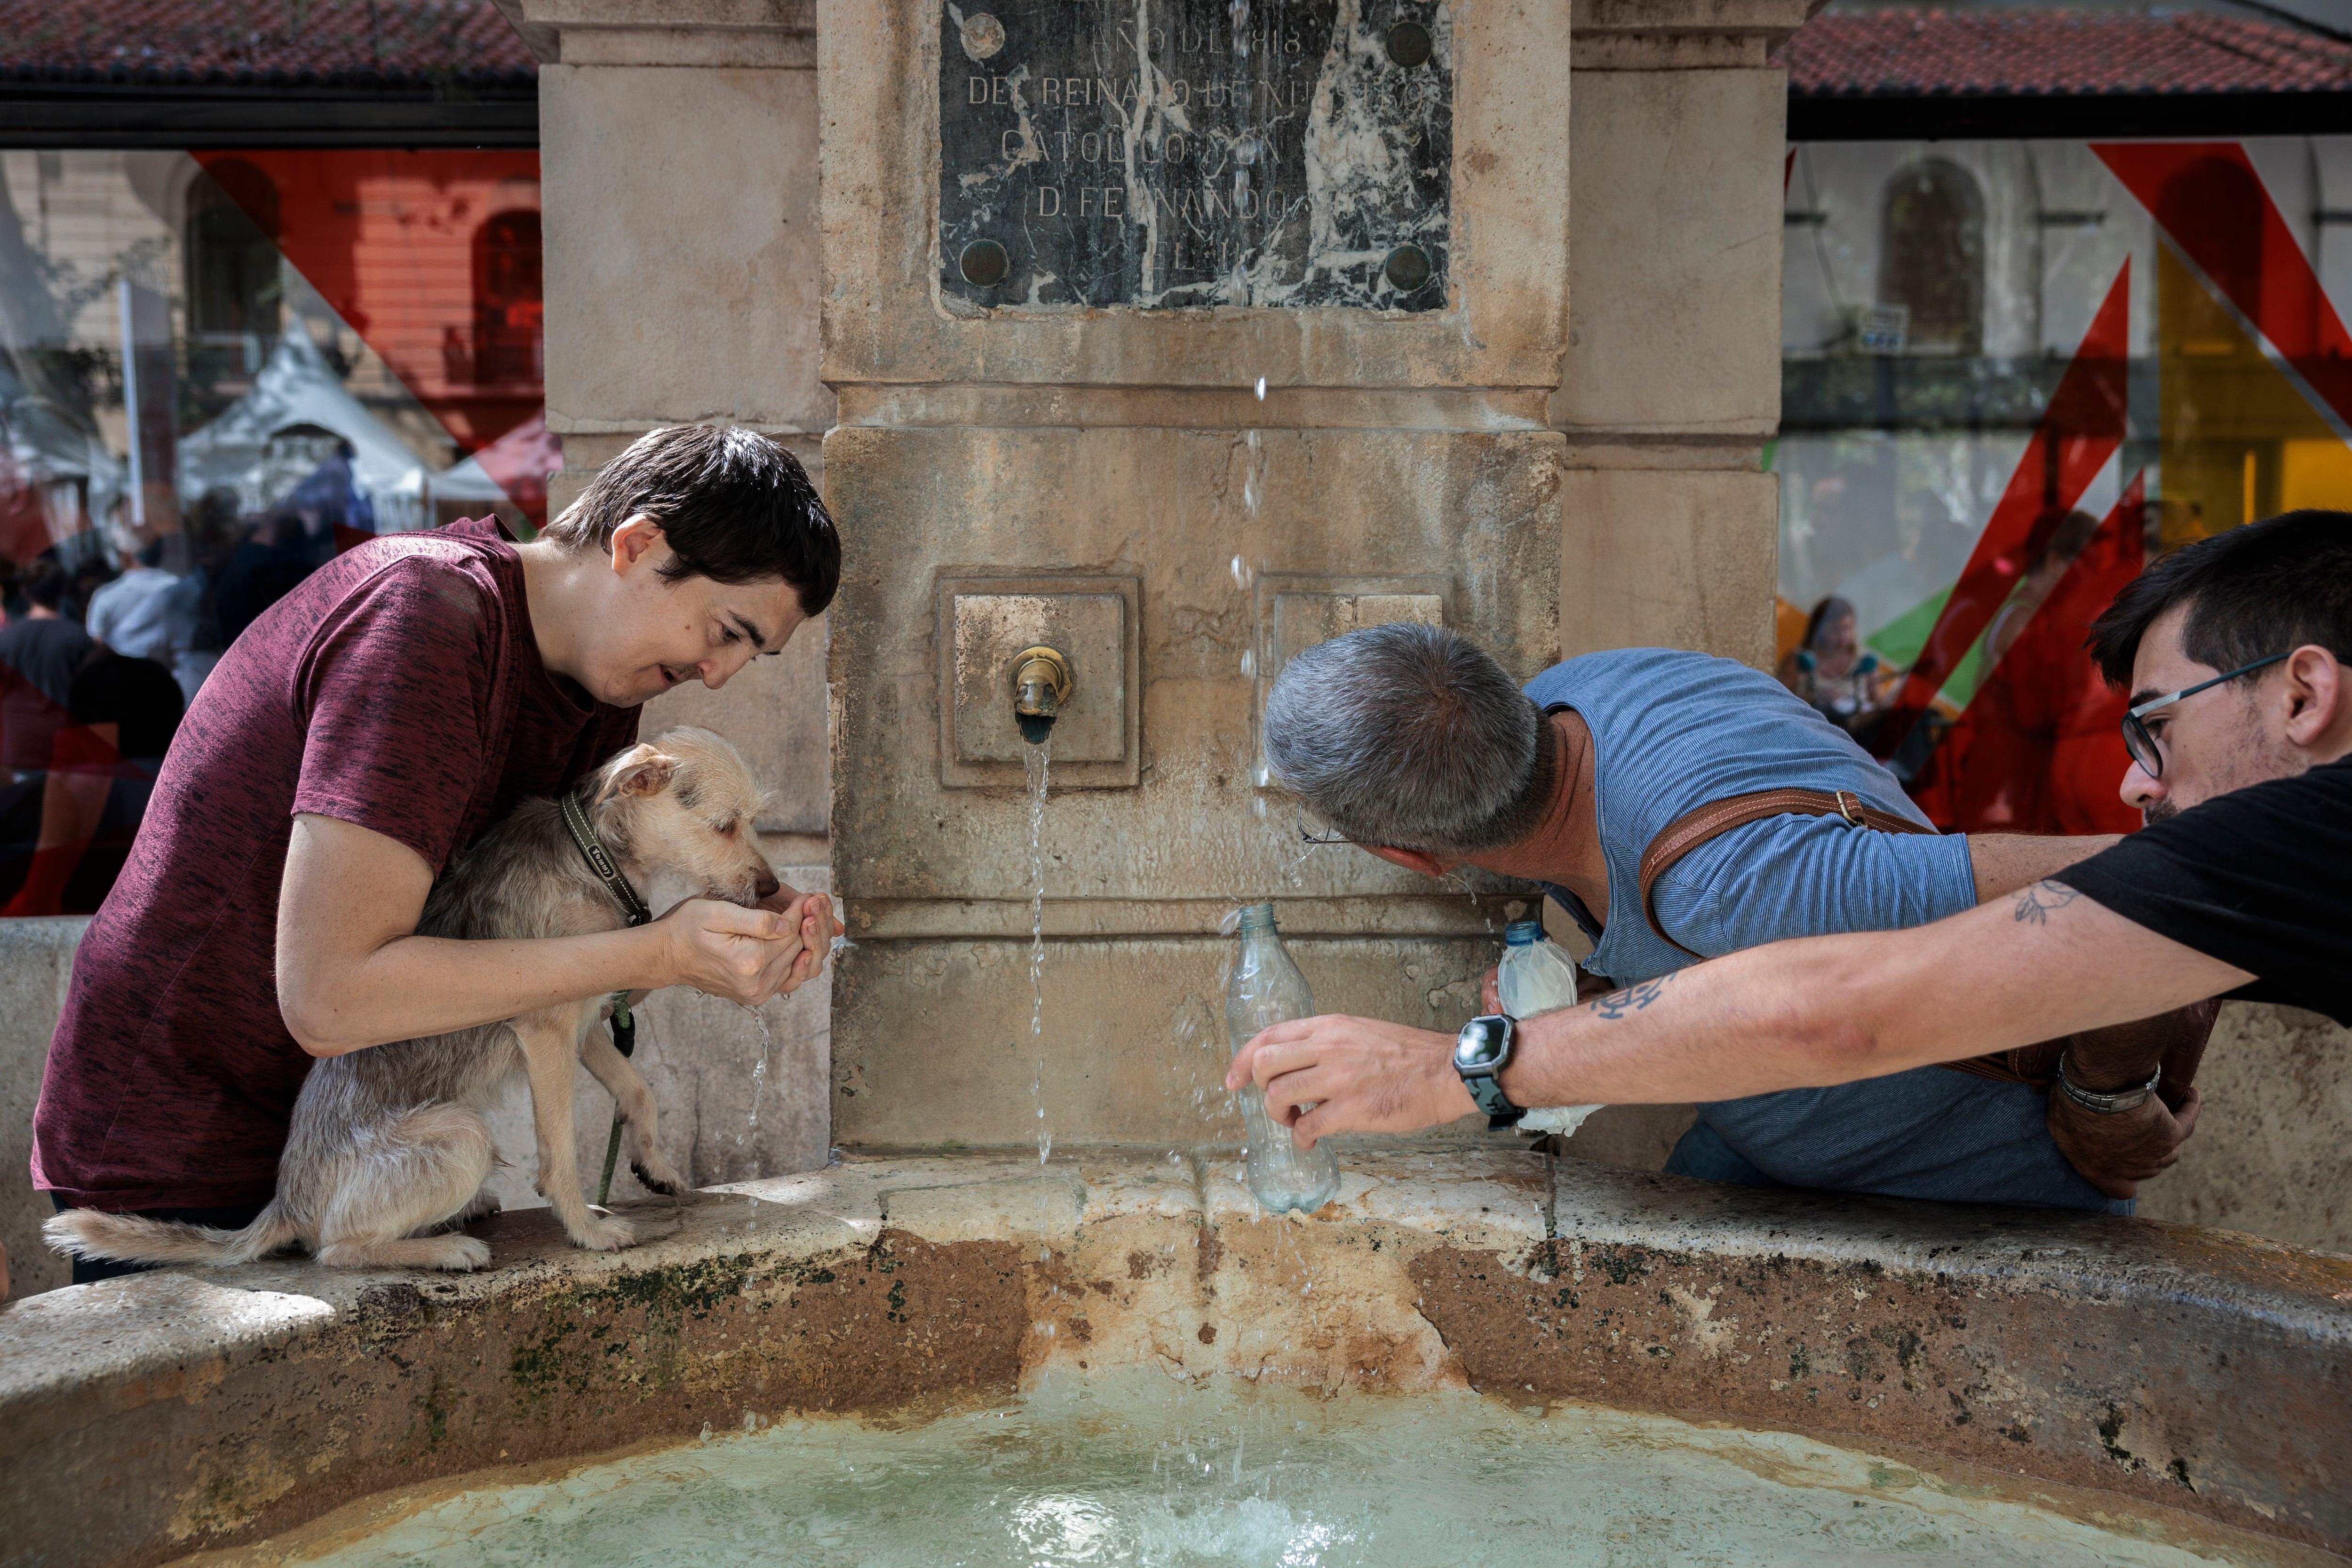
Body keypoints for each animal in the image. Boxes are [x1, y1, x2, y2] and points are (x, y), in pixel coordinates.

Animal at [48, 729, 781, 1269]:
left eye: (753, 822)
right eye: (725, 825)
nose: (773, 888)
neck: (597, 857)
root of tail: (287, 1202)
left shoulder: (585, 1017)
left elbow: (637, 1087)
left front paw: (654, 1163)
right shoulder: (546, 1029)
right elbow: (560, 1152)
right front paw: (587, 1230)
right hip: (461, 1134)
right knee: (335, 1250)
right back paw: (447, 1248)